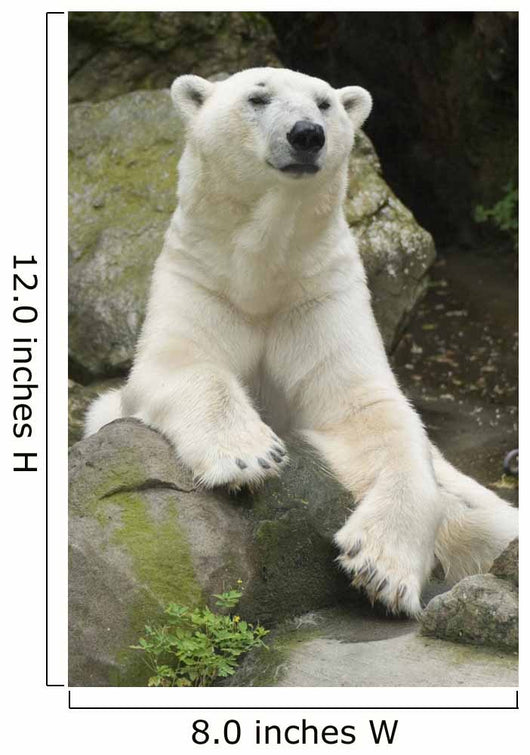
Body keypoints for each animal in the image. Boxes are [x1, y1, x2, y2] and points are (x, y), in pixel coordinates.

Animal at [85, 67, 518, 617]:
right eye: (257, 97)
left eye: (325, 103)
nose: (307, 134)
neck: (265, 269)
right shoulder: (203, 278)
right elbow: (179, 362)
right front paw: (249, 456)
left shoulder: (320, 291)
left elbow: (370, 411)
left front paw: (380, 568)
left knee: (487, 518)